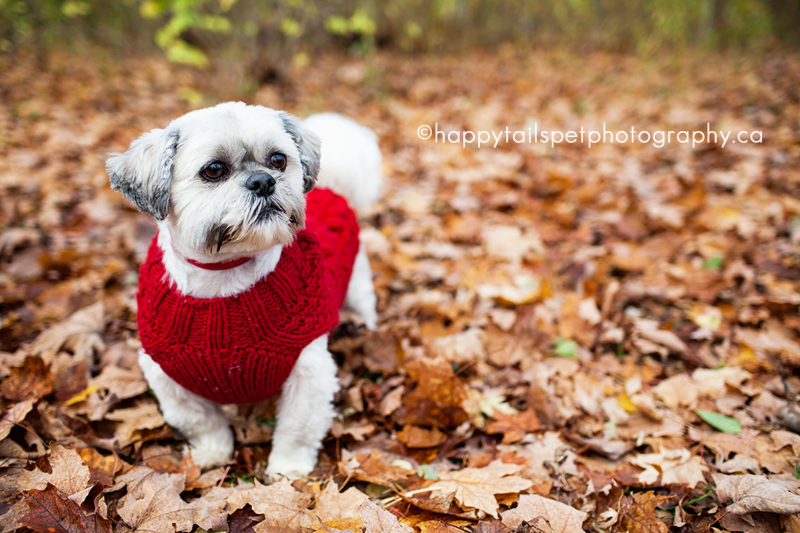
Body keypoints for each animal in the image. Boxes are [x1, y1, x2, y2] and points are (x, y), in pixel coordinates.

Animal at [106, 102, 382, 476]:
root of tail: (332, 189)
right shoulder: (167, 377)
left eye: (278, 160)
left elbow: (297, 426)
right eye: (214, 170)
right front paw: (211, 454)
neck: (226, 275)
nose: (263, 180)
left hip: (358, 289)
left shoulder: (308, 370)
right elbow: (202, 422)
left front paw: (288, 469)